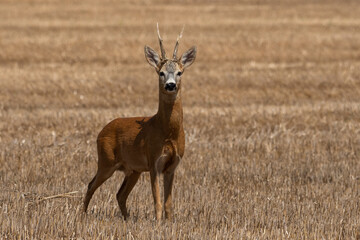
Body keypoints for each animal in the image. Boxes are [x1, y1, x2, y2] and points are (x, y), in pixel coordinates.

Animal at [83, 24, 197, 221]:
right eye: (161, 72)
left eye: (179, 72)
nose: (170, 85)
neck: (167, 132)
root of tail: (102, 131)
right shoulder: (153, 162)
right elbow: (157, 201)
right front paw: (158, 223)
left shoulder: (172, 165)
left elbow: (168, 204)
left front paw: (169, 222)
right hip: (106, 161)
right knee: (91, 185)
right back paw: (82, 216)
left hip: (132, 170)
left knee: (120, 194)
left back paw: (127, 219)